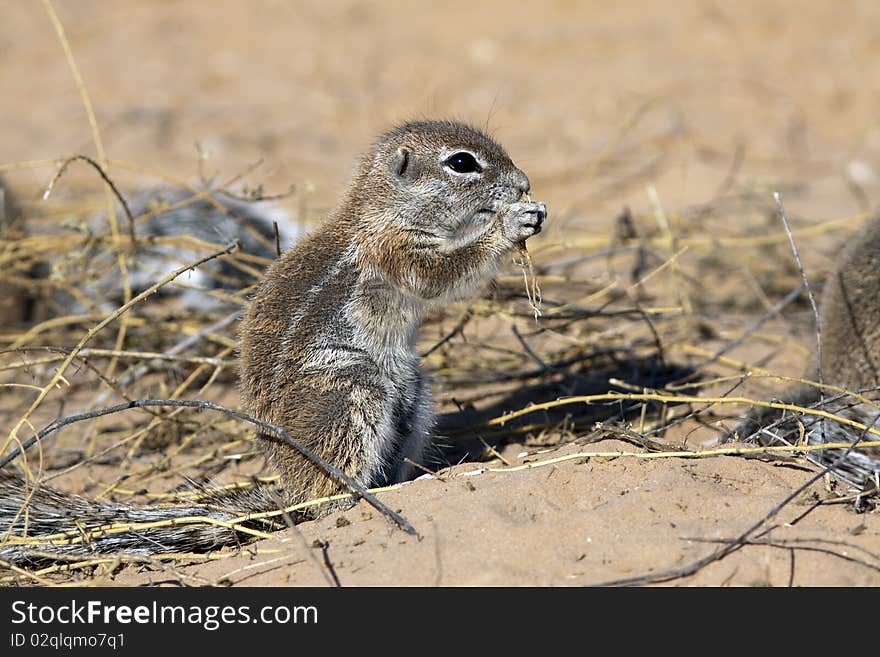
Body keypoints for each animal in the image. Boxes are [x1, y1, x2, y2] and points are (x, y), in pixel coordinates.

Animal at [0, 120, 548, 560]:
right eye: (462, 162)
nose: (524, 183)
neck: (383, 210)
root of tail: (289, 489)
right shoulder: (394, 251)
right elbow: (443, 273)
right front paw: (510, 224)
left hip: (416, 393)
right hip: (350, 391)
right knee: (326, 496)